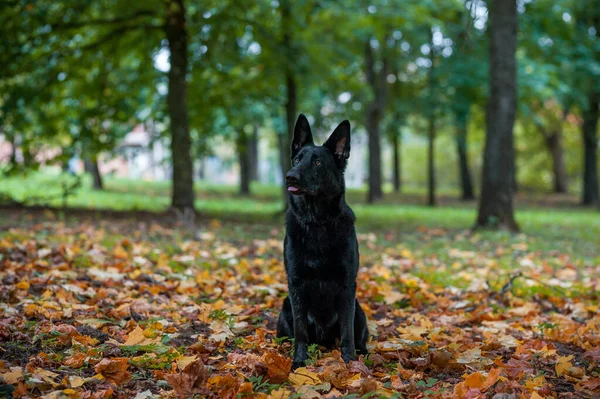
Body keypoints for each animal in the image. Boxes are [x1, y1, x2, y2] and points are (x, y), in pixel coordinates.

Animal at [278, 114, 370, 370]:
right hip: (285, 307)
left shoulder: (347, 285)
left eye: (318, 163)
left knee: (358, 336)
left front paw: (349, 362)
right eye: (297, 159)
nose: (290, 175)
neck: (316, 222)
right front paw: (299, 361)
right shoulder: (296, 284)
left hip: (359, 310)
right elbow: (300, 331)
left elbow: (347, 332)